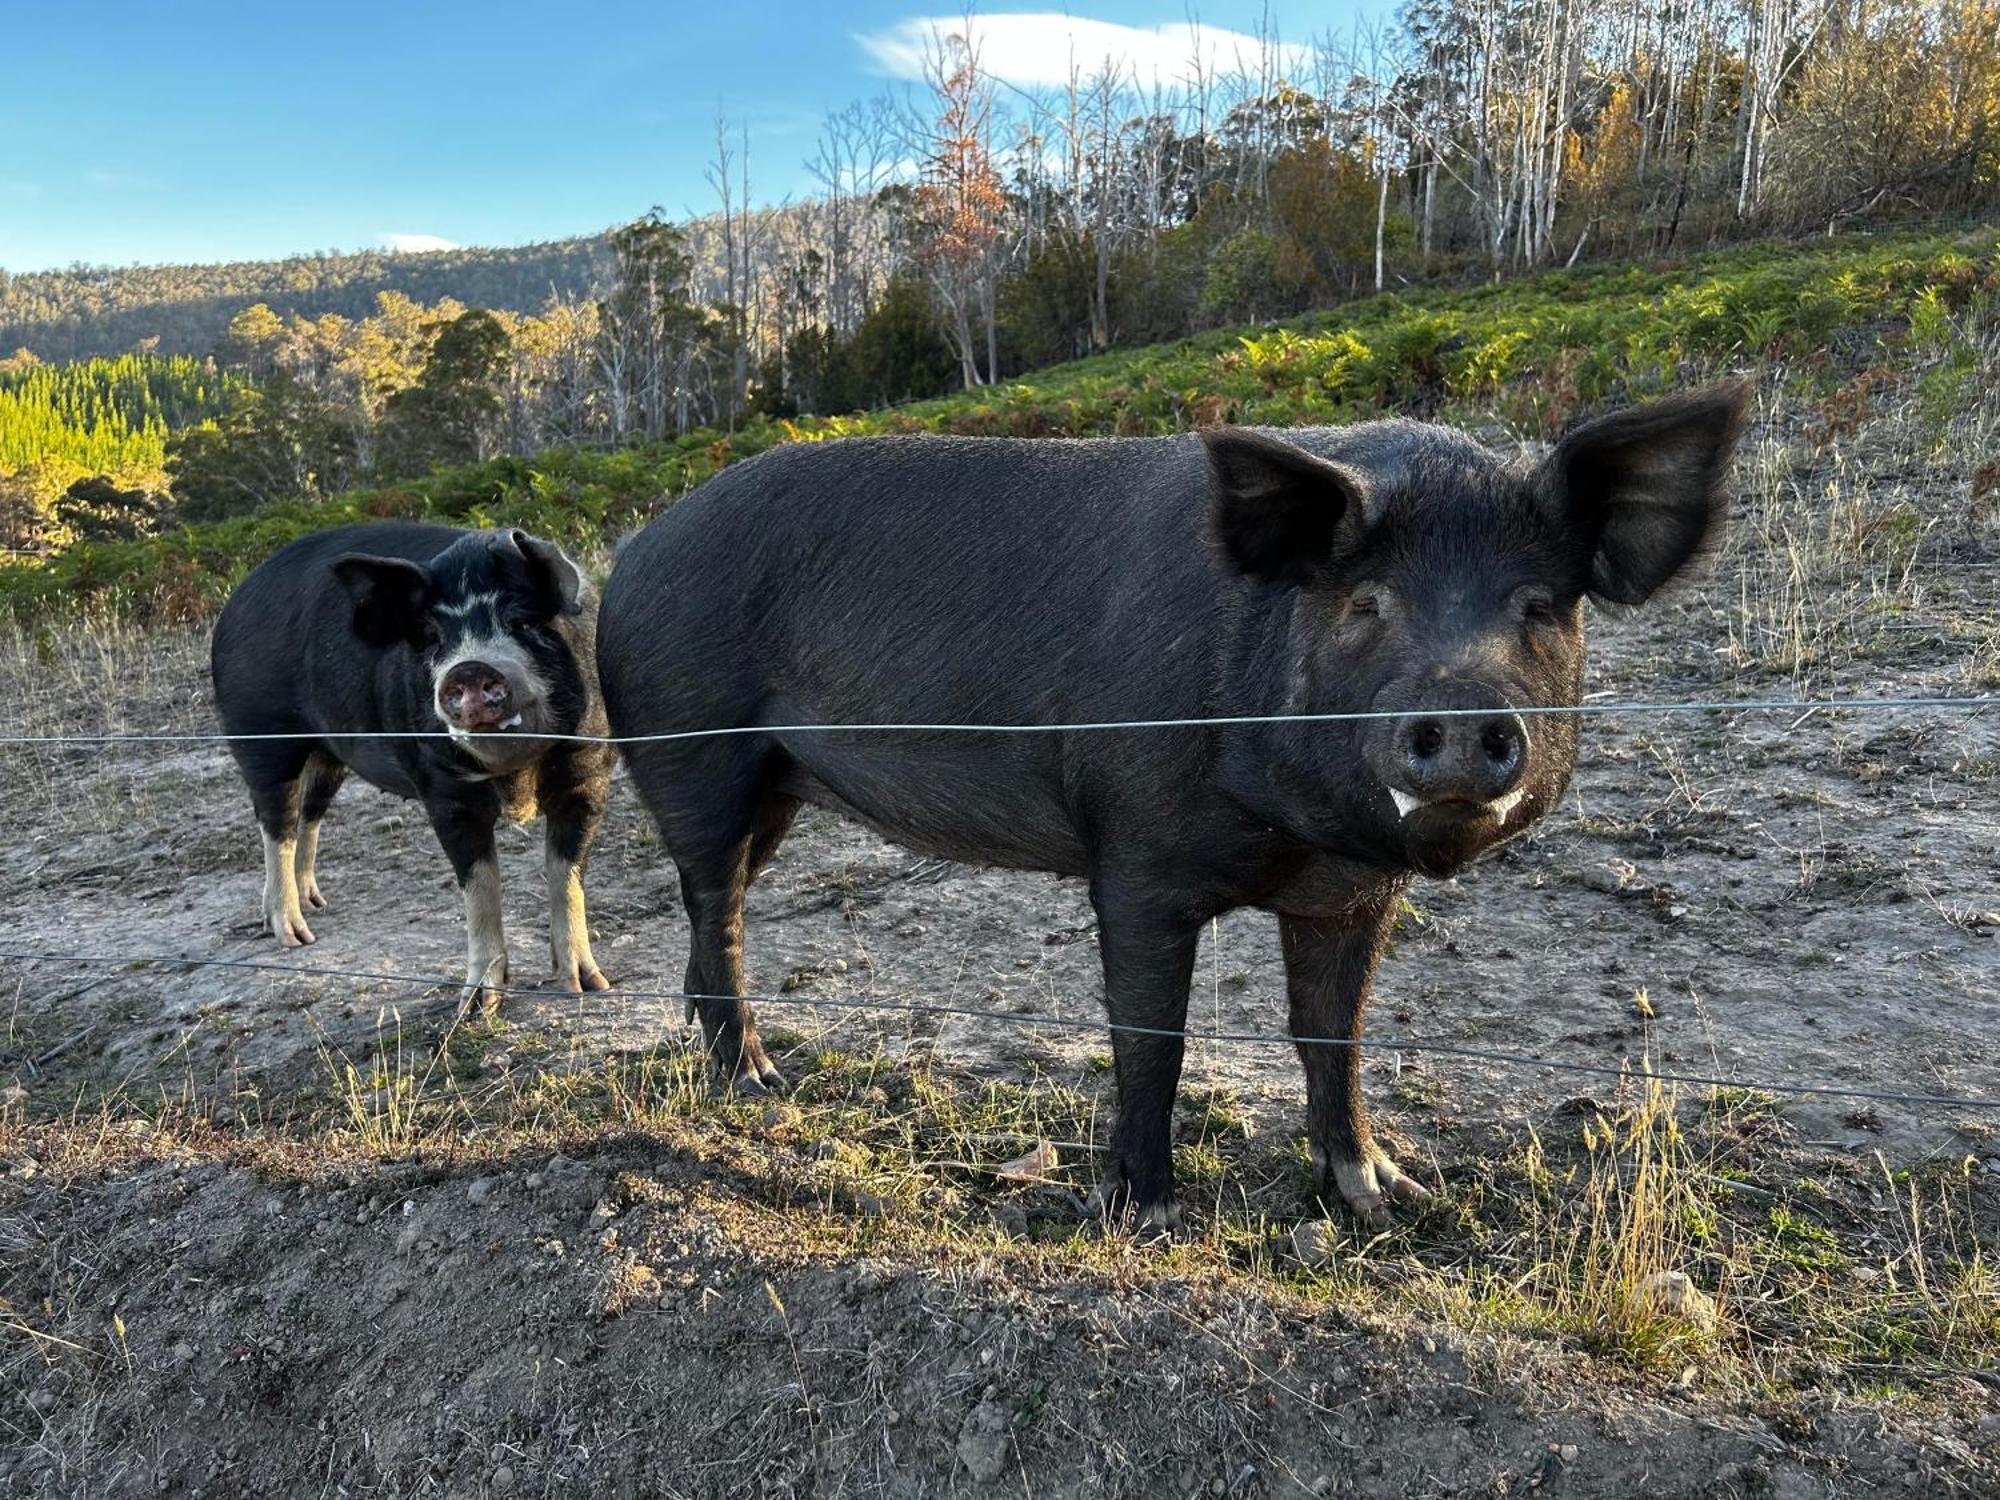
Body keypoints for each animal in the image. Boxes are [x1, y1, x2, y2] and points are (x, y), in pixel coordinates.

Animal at [211, 524, 616, 1016]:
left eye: (521, 620)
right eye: (433, 636)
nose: (469, 668)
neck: (514, 776)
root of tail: (237, 600)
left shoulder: (589, 776)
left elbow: (566, 875)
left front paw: (587, 985)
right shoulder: (444, 794)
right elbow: (479, 886)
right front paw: (476, 1006)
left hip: (330, 755)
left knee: (309, 814)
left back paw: (316, 902)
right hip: (262, 737)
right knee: (276, 822)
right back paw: (295, 935)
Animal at [596, 390, 1752, 1232]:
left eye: (1539, 608)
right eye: (1364, 605)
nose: (1463, 708)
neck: (1294, 841)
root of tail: (633, 552)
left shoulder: (1349, 893)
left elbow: (1332, 1034)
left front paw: (1386, 1196)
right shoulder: (1135, 855)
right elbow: (1152, 1035)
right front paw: (1144, 1214)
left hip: (777, 787)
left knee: (712, 909)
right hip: (693, 747)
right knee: (715, 904)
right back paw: (756, 1081)